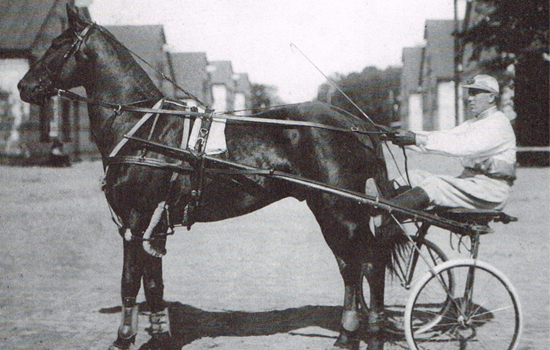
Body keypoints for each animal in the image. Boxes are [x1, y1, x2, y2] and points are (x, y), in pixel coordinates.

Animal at [18, 5, 402, 350]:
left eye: (58, 44)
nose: (24, 85)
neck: (143, 129)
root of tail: (356, 123)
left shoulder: (136, 218)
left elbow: (129, 281)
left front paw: (123, 338)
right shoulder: (153, 223)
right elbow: (153, 284)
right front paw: (160, 336)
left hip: (340, 210)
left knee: (367, 262)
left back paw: (366, 334)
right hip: (330, 208)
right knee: (354, 265)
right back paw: (354, 334)